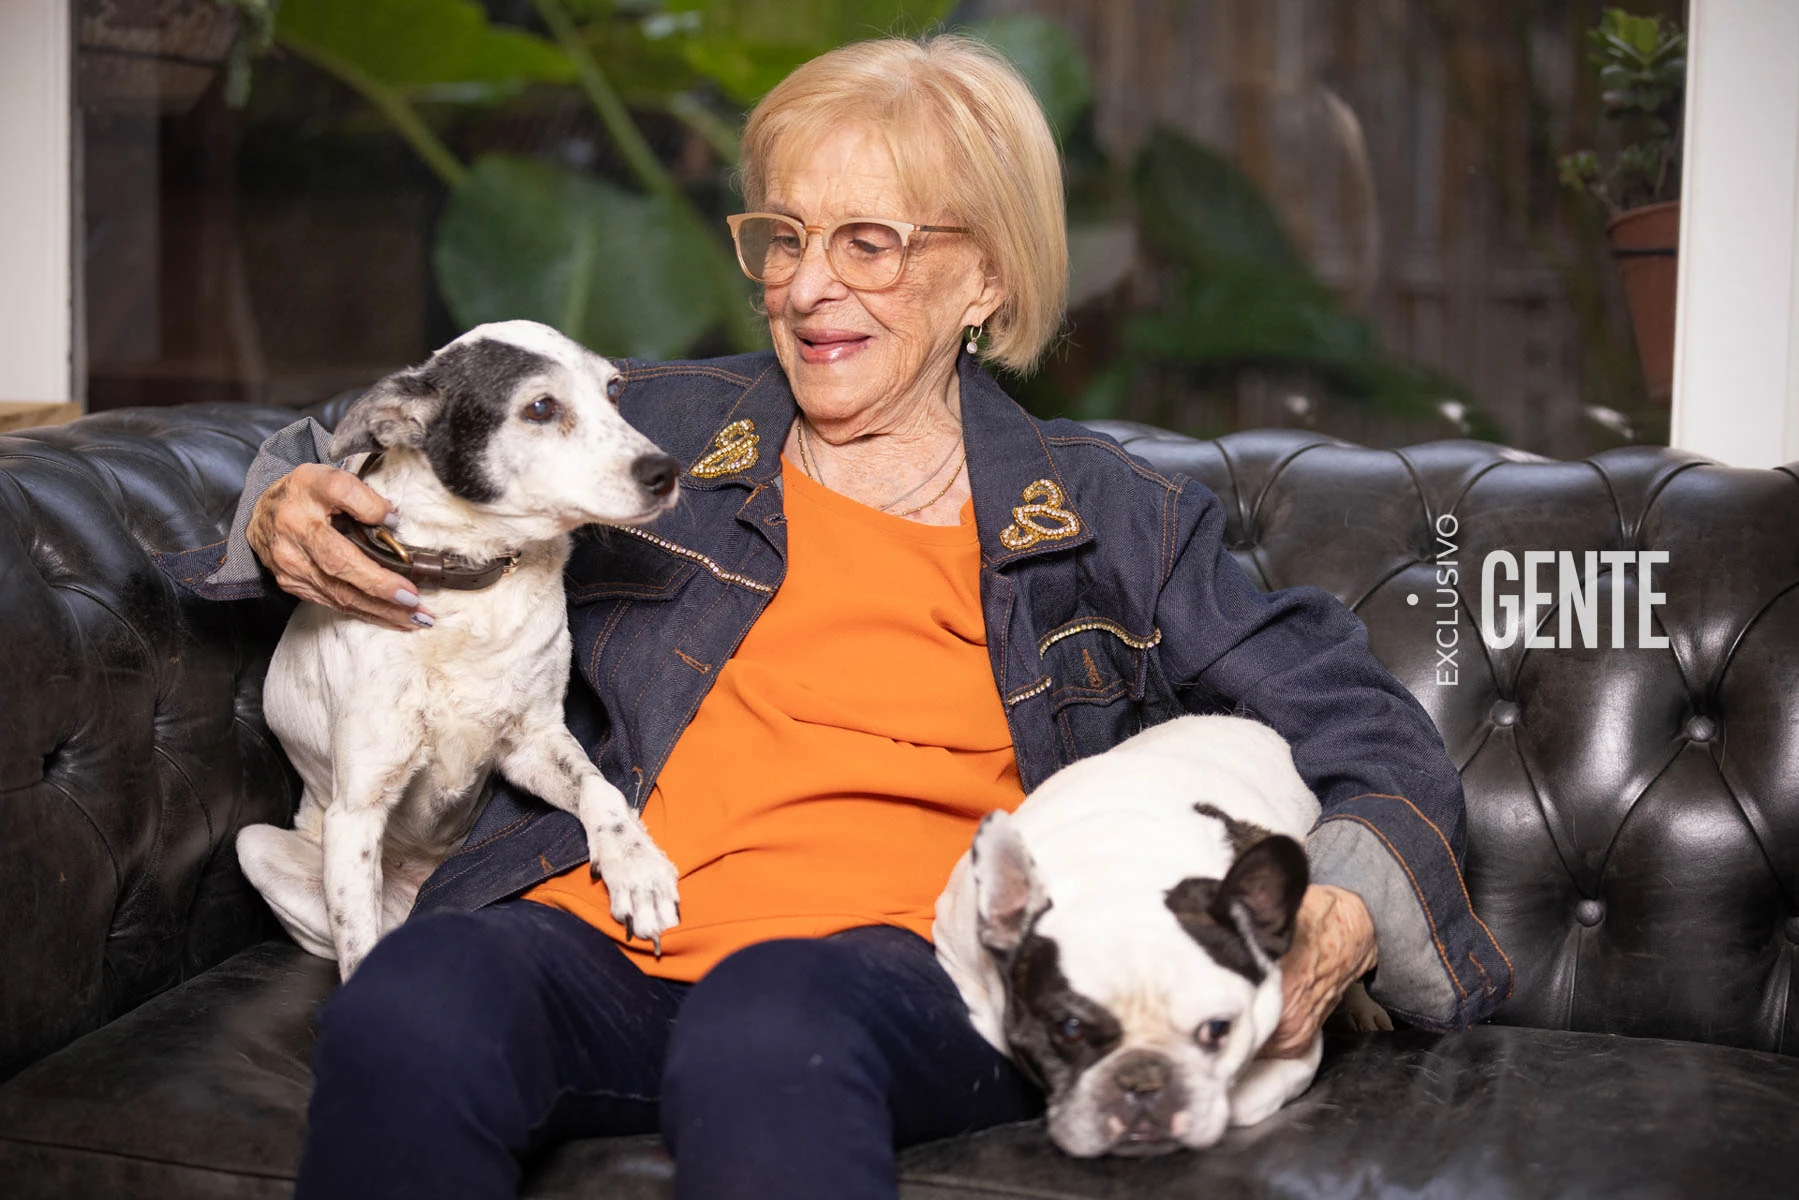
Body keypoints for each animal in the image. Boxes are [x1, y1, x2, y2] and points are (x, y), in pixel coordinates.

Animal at [237, 323, 680, 978]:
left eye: (614, 389)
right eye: (540, 407)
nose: (666, 471)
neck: (473, 581)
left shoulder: (534, 742)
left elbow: (601, 788)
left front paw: (638, 869)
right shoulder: (357, 811)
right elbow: (356, 950)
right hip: (258, 846)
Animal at [935, 719, 1381, 1158]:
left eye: (1218, 1029)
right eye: (1069, 1028)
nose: (1143, 1078)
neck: (1119, 865)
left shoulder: (1296, 1048)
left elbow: (1238, 1104)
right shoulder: (954, 942)